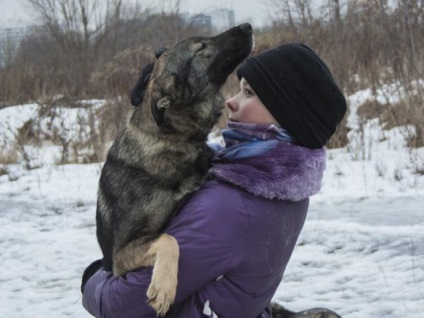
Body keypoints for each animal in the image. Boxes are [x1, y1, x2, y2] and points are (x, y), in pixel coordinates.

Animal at [96, 23, 253, 314]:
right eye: (201, 47)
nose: (247, 26)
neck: (173, 141)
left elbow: (169, 237)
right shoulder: (121, 253)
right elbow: (169, 239)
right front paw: (164, 287)